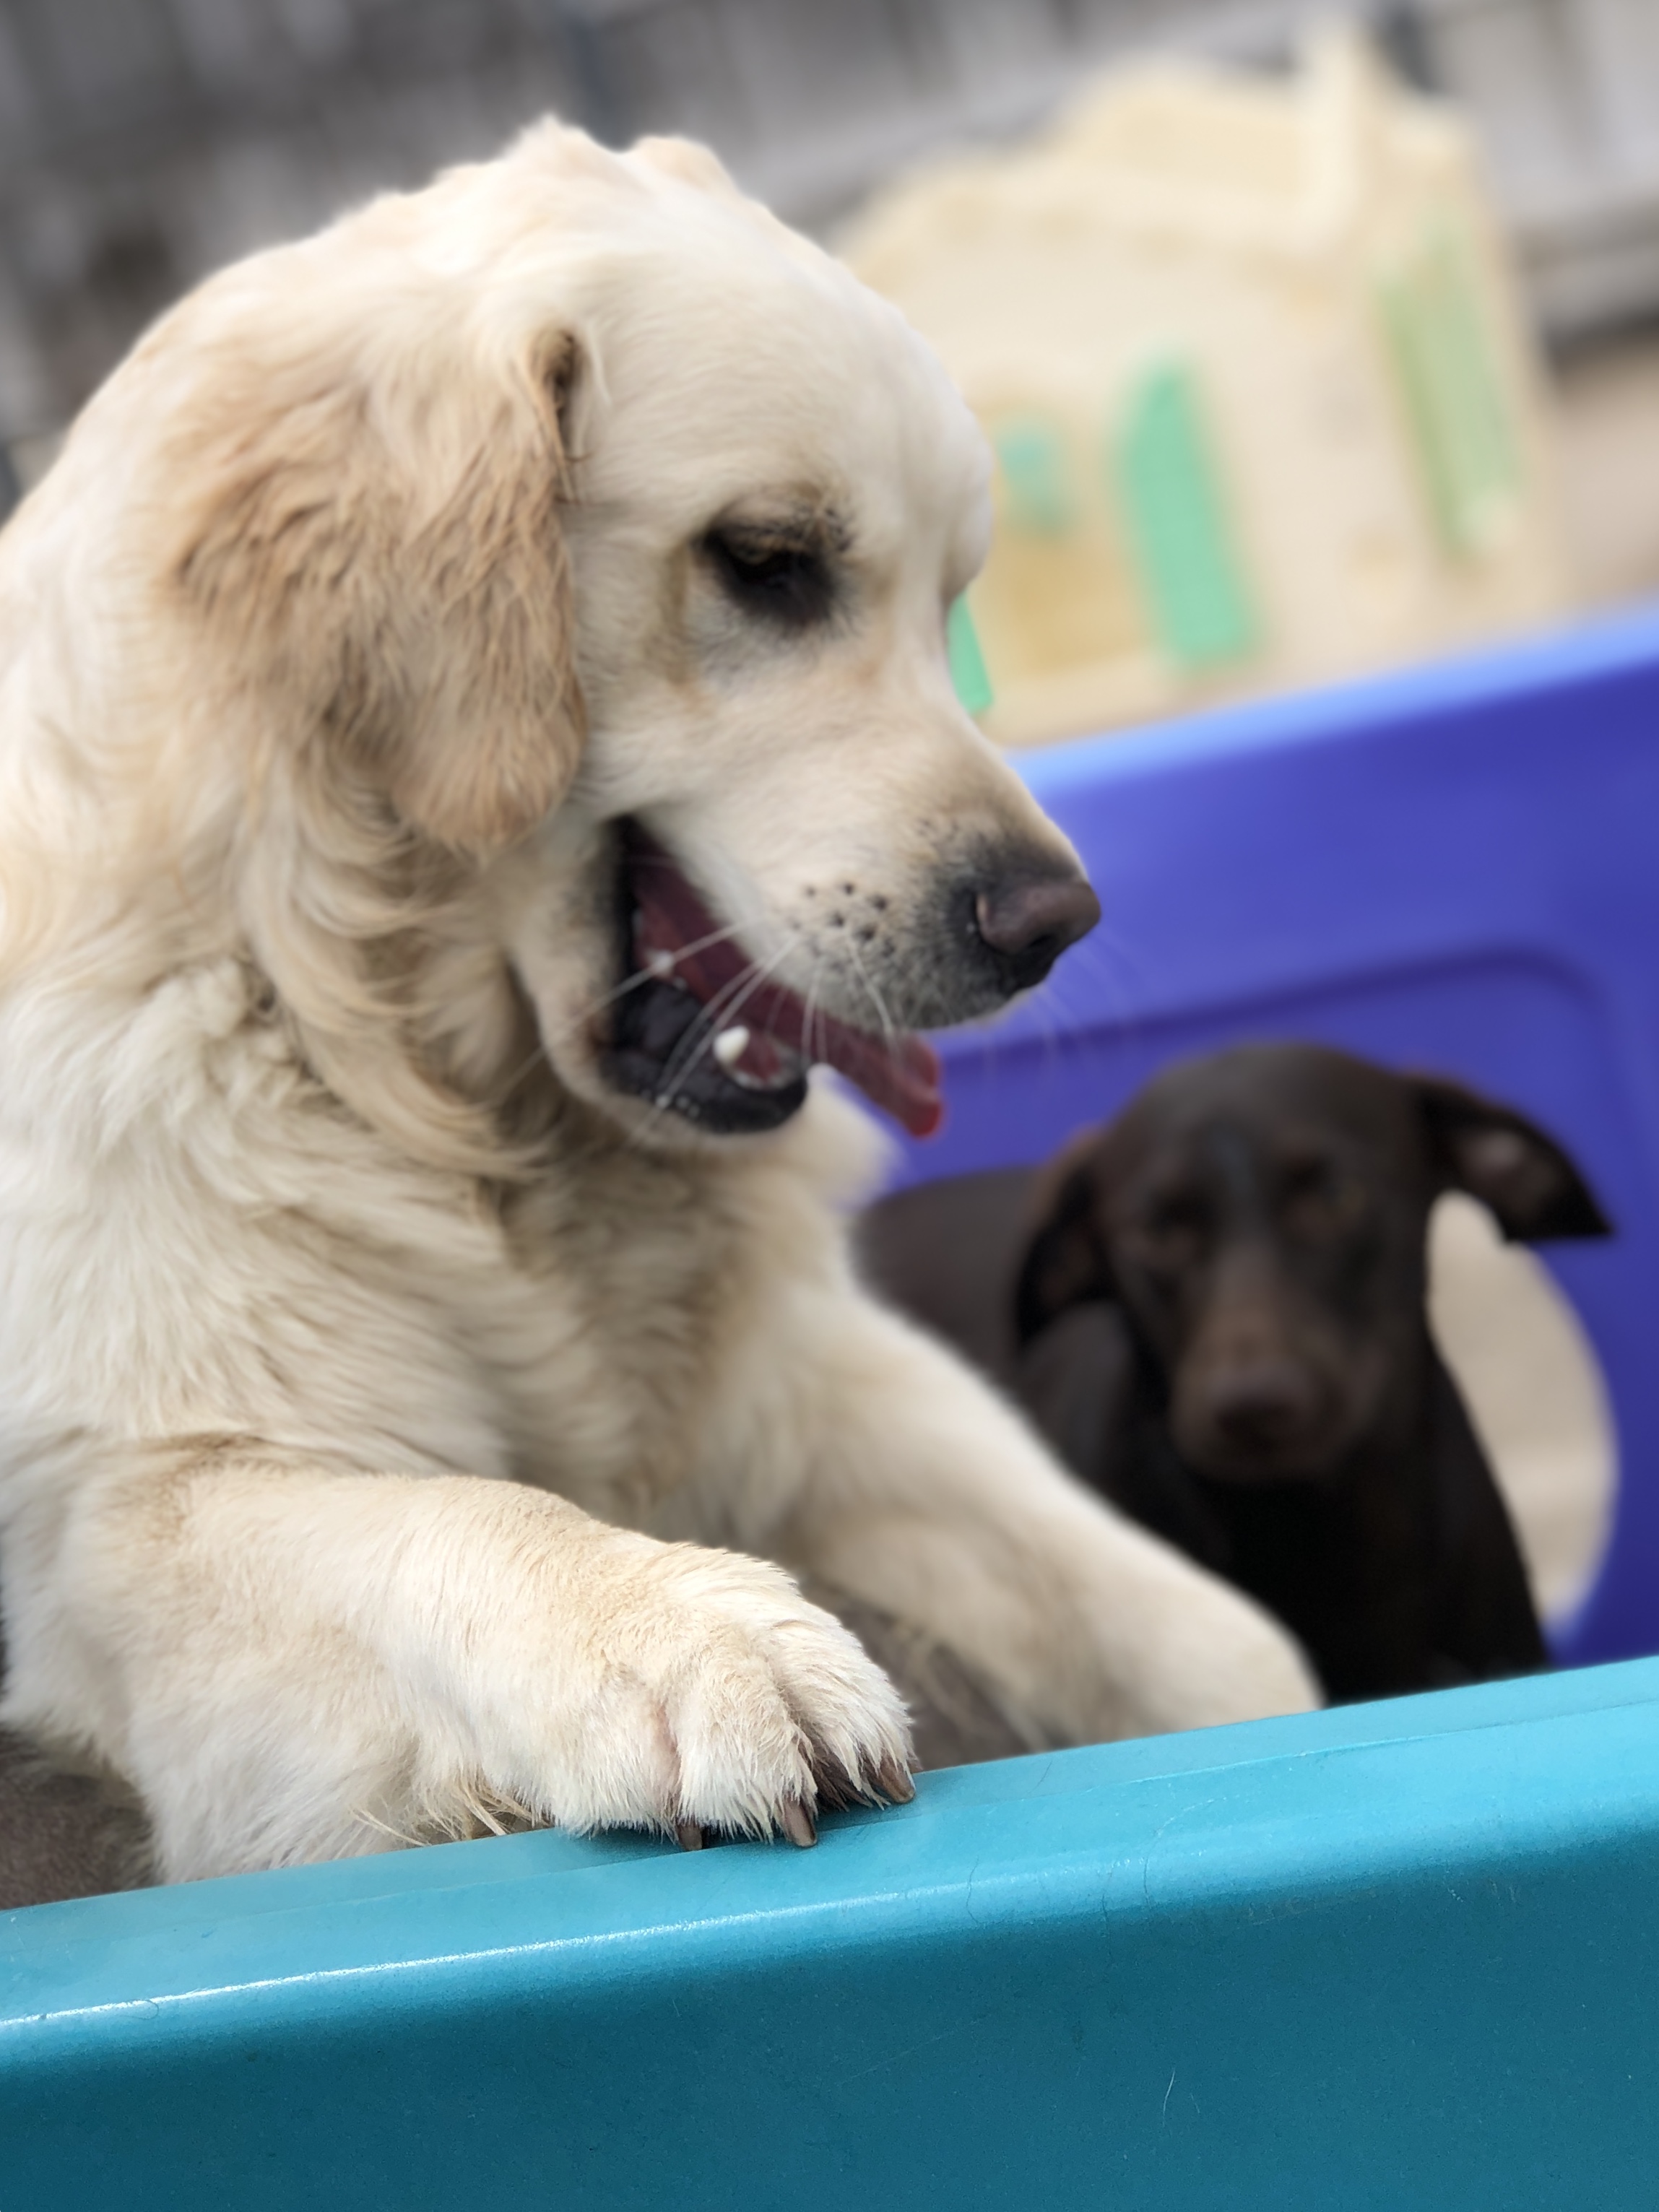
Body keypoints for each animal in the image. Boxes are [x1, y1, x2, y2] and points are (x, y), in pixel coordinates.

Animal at [0, 125, 1309, 1884]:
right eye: (766, 562)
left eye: (950, 599)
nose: (1051, 923)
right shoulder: (133, 1520)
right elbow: (457, 1509)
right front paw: (687, 1629)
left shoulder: (814, 1383)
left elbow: (1204, 1633)